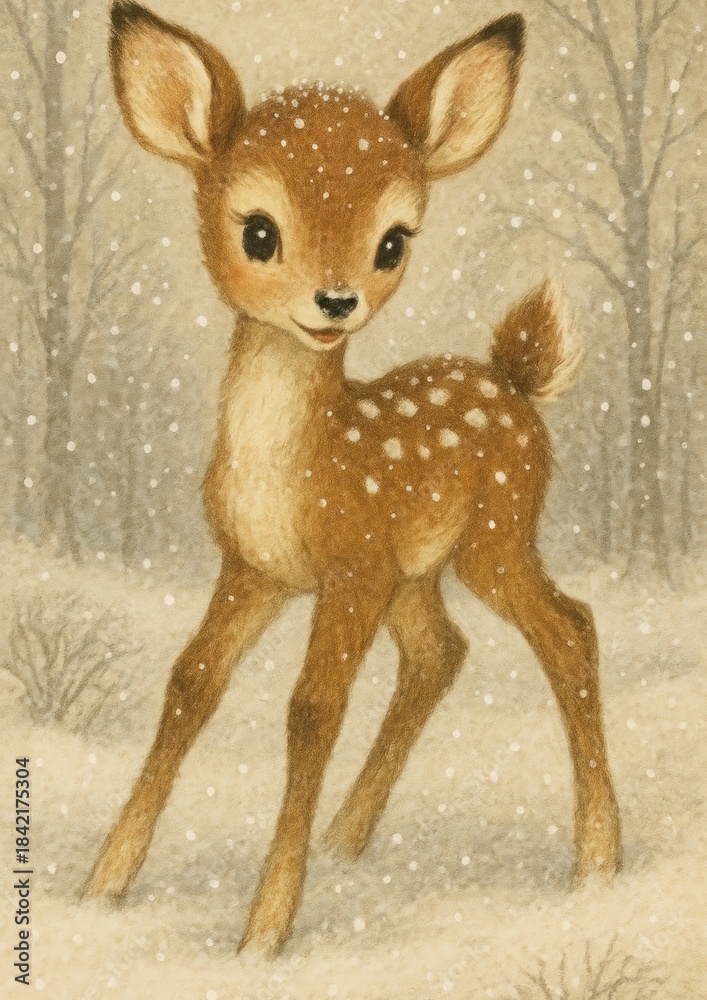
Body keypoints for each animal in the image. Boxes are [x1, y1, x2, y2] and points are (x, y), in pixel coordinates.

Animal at [84, 2, 622, 956]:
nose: (335, 302)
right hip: (417, 569)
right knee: (442, 651)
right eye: (259, 231)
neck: (298, 465)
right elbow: (190, 682)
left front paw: (263, 933)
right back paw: (346, 838)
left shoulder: (349, 564)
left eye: (392, 241)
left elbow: (310, 708)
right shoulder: (255, 567)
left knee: (569, 627)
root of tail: (514, 380)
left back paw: (596, 862)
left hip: (493, 536)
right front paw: (101, 887)